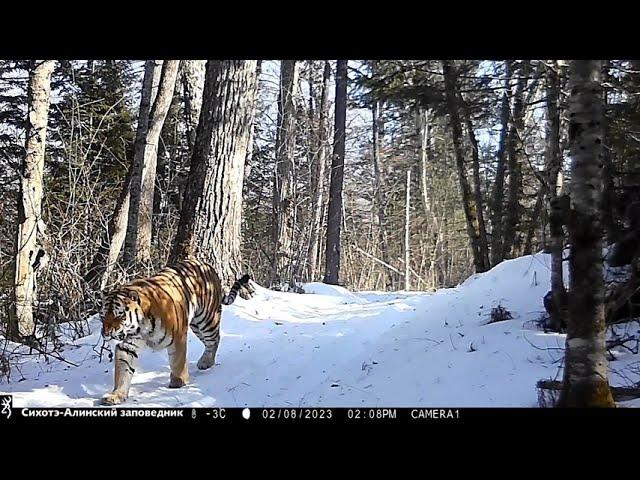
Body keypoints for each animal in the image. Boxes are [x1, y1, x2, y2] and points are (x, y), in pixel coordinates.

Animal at [99, 256, 251, 404]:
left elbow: (178, 361)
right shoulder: (127, 345)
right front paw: (116, 395)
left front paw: (179, 381)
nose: (106, 333)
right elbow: (122, 371)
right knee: (209, 341)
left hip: (206, 320)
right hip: (197, 325)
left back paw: (206, 362)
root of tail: (208, 265)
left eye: (119, 315)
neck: (140, 328)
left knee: (215, 339)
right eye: (103, 316)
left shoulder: (178, 336)